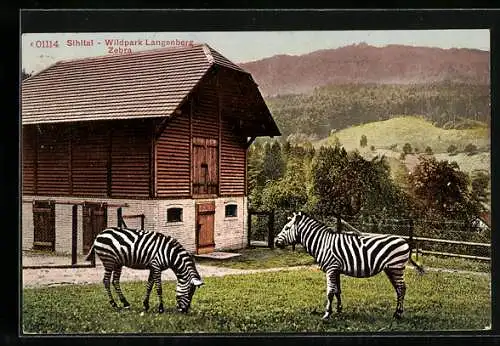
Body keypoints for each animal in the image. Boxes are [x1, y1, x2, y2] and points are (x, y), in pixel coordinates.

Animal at [274, 212, 426, 320]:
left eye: (286, 228)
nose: (275, 241)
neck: (322, 243)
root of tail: (404, 241)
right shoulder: (336, 270)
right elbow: (337, 291)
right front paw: (339, 310)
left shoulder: (331, 268)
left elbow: (330, 292)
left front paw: (327, 314)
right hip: (391, 269)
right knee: (399, 289)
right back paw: (397, 313)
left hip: (396, 268)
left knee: (401, 289)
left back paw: (398, 314)